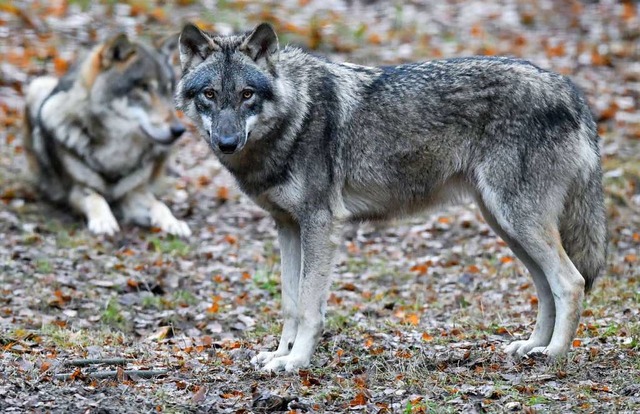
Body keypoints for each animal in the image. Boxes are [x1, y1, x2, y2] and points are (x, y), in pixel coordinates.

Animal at [23, 33, 192, 236]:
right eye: (144, 88)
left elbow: (159, 205)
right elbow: (95, 197)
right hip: (38, 85)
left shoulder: (133, 193)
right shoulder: (77, 189)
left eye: (167, 89)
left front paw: (173, 222)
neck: (116, 152)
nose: (179, 130)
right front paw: (104, 221)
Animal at [178, 22, 608, 372]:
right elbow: (290, 304)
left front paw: (296, 361)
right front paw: (279, 355)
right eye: (210, 94)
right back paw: (531, 346)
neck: (295, 117)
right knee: (547, 288)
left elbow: (309, 306)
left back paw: (554, 354)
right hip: (507, 225)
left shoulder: (321, 224)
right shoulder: (287, 227)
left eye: (247, 94)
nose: (227, 142)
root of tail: (571, 91)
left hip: (518, 221)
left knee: (570, 282)